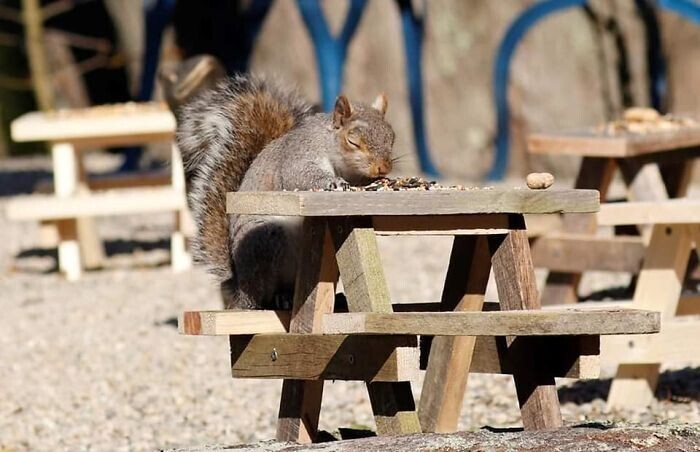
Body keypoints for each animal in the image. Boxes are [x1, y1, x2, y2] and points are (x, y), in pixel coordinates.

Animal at [176, 74, 394, 308]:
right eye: (353, 141)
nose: (382, 168)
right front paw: (334, 182)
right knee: (260, 294)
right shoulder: (299, 155)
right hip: (264, 243)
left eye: (392, 138)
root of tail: (237, 284)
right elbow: (300, 174)